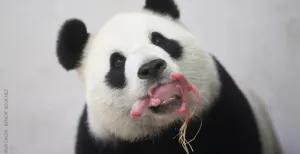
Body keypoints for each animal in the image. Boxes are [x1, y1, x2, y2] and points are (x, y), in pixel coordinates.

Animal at [55, 0, 282, 154]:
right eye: (117, 61)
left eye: (158, 39)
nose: (151, 67)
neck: (165, 130)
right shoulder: (103, 140)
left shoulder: (224, 112)